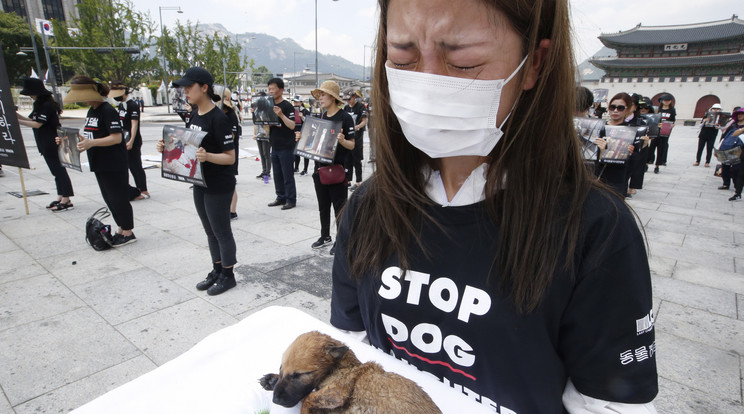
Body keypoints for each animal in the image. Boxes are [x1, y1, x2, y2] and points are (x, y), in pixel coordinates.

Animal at [258, 330, 442, 414]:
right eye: (281, 369)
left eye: (299, 375)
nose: (275, 400)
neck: (343, 367)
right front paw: (272, 379)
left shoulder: (337, 392)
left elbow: (307, 398)